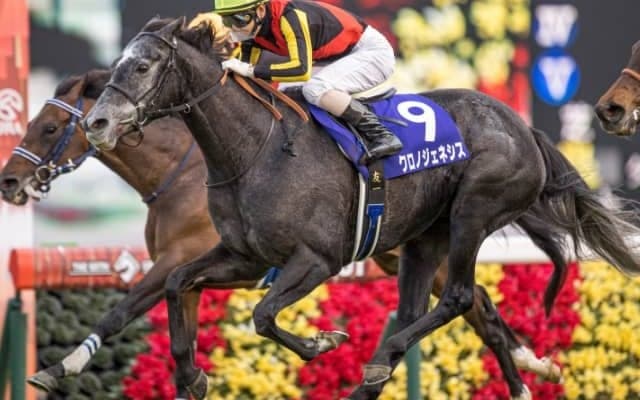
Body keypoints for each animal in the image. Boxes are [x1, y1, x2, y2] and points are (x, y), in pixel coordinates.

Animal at [0, 68, 573, 397]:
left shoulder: (178, 260)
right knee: (476, 305)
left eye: (49, 128)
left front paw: (62, 365)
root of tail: (520, 128)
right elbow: (173, 318)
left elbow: (124, 308)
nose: (10, 179)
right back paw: (527, 371)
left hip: (452, 226)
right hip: (415, 244)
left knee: (468, 299)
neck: (185, 173)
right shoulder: (199, 265)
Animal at [83, 18, 640, 400]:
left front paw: (323, 343)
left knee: (459, 297)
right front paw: (190, 374)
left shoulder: (316, 260)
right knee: (418, 308)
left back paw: (382, 363)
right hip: (425, 237)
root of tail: (523, 126)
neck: (255, 150)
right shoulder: (244, 256)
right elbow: (177, 284)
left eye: (142, 66)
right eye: (113, 67)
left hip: (473, 213)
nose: (96, 122)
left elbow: (263, 315)